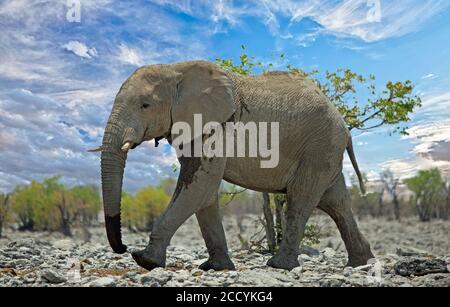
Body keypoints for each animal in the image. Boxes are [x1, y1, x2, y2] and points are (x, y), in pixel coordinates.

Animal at [95, 60, 376, 272]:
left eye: (145, 105)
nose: (123, 248)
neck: (175, 69)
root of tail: (344, 126)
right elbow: (204, 193)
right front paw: (216, 267)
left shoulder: (214, 127)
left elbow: (199, 186)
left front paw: (145, 260)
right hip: (325, 151)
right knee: (336, 202)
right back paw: (362, 263)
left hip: (319, 146)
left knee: (301, 198)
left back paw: (278, 265)